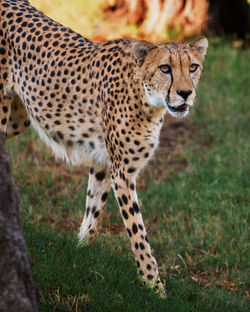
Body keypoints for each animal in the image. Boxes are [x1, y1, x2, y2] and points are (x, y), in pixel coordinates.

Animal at [0, 0, 207, 298]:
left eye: (192, 67)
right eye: (165, 68)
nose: (185, 93)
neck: (147, 99)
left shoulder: (103, 163)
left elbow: (93, 211)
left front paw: (80, 254)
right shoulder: (123, 173)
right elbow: (138, 233)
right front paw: (154, 288)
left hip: (18, 118)